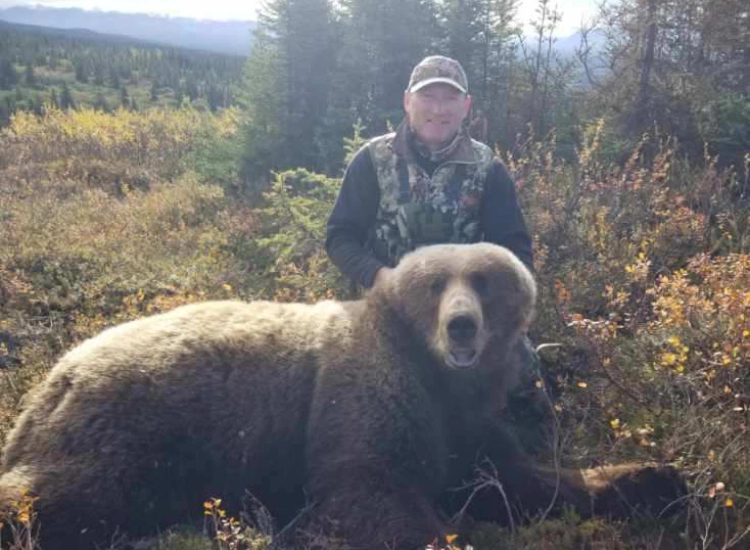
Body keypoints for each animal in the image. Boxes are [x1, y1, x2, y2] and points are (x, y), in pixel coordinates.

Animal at [0, 243, 683, 550]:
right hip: (133, 429)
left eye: (485, 281)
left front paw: (656, 477)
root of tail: (54, 378)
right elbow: (367, 490)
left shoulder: (464, 428)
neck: (440, 380)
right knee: (60, 494)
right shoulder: (366, 396)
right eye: (436, 284)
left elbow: (523, 483)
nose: (462, 326)